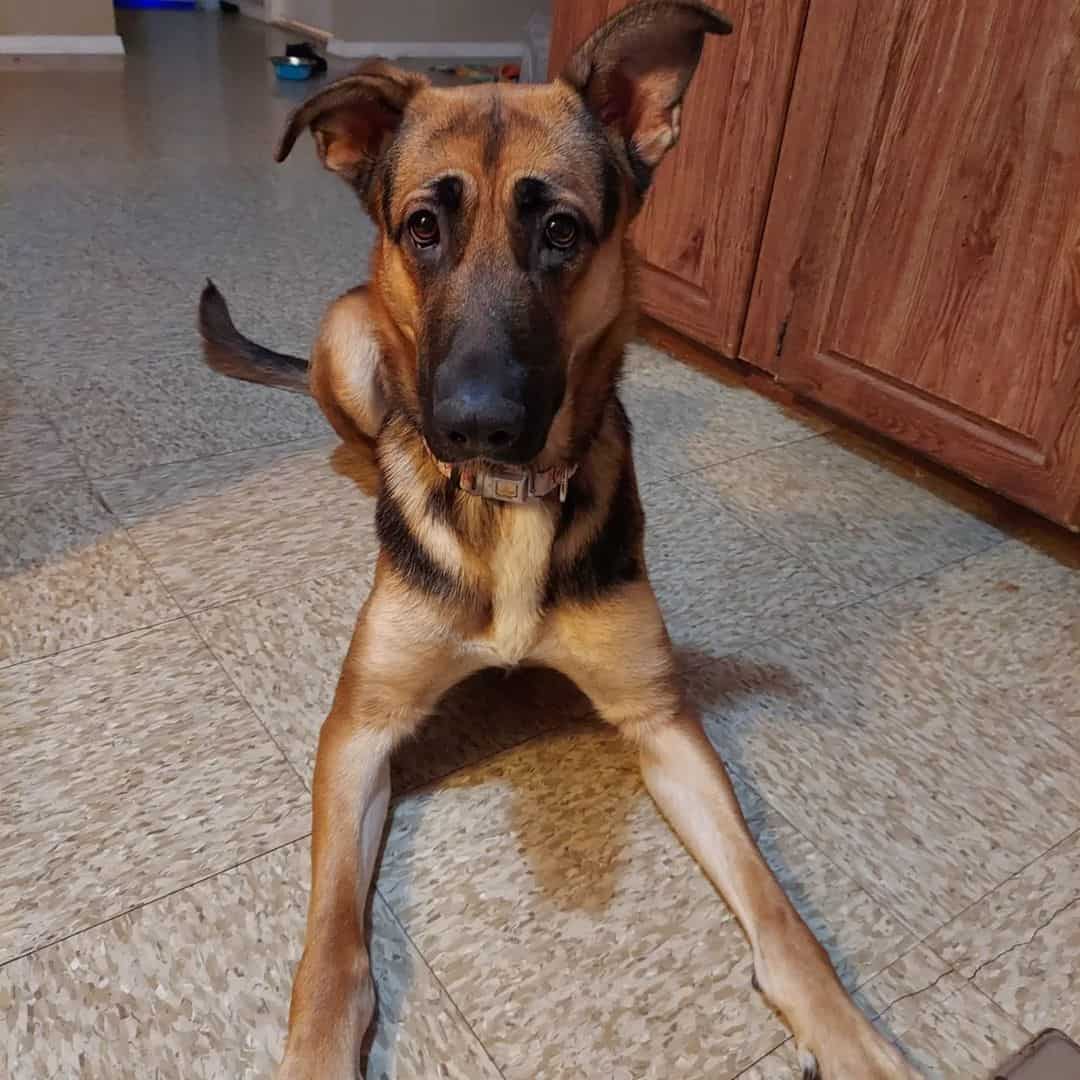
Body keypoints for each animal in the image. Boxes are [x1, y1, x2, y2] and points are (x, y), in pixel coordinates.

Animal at [196, 4, 920, 1075]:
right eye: (423, 227)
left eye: (561, 231)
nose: (474, 428)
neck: (512, 504)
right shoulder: (358, 731)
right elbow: (330, 949)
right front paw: (318, 1050)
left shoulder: (664, 723)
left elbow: (782, 918)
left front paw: (851, 1037)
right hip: (348, 337)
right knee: (363, 429)